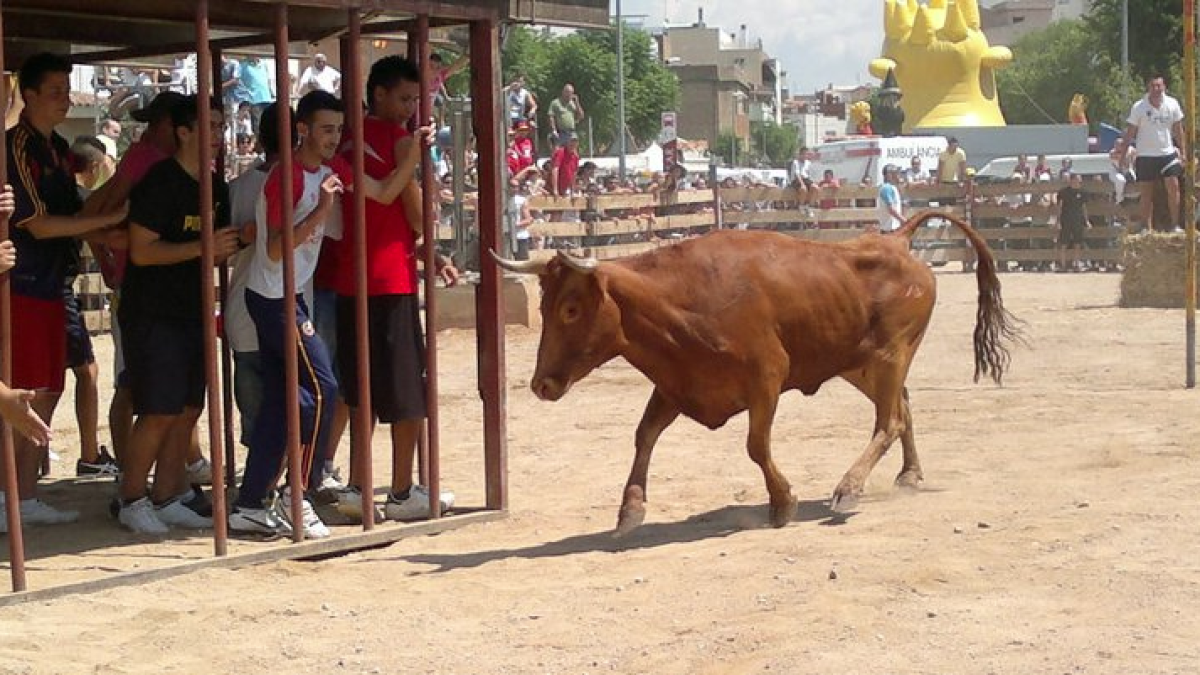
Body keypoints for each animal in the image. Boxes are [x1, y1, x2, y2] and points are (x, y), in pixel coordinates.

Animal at [492, 212, 1017, 533]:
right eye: (545, 306)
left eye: (571, 309)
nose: (541, 384)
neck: (678, 299)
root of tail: (898, 240)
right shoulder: (675, 384)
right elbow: (644, 437)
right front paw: (630, 509)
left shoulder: (767, 379)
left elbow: (755, 446)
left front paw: (782, 501)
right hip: (860, 364)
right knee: (902, 408)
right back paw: (909, 476)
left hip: (891, 353)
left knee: (888, 420)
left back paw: (848, 489)